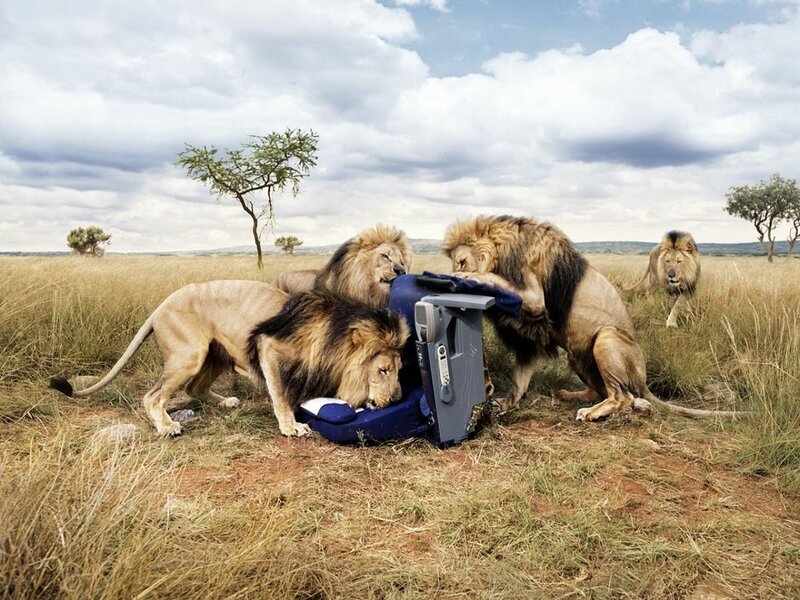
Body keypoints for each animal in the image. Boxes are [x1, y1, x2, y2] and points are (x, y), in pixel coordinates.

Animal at [49, 281, 409, 437]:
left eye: (399, 370)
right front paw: (291, 426)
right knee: (152, 396)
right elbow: (280, 395)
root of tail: (158, 308)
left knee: (194, 389)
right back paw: (167, 426)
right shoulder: (268, 348)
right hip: (189, 355)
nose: (396, 400)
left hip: (214, 354)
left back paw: (226, 402)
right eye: (383, 370)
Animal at [444, 215, 736, 422]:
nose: (454, 271)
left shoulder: (534, 298)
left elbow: (493, 279)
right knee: (600, 390)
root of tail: (644, 382)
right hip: (576, 355)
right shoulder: (529, 338)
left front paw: (467, 277)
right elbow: (519, 379)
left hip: (605, 338)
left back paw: (591, 412)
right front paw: (504, 404)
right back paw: (571, 395)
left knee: (622, 397)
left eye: (461, 261)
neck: (503, 250)